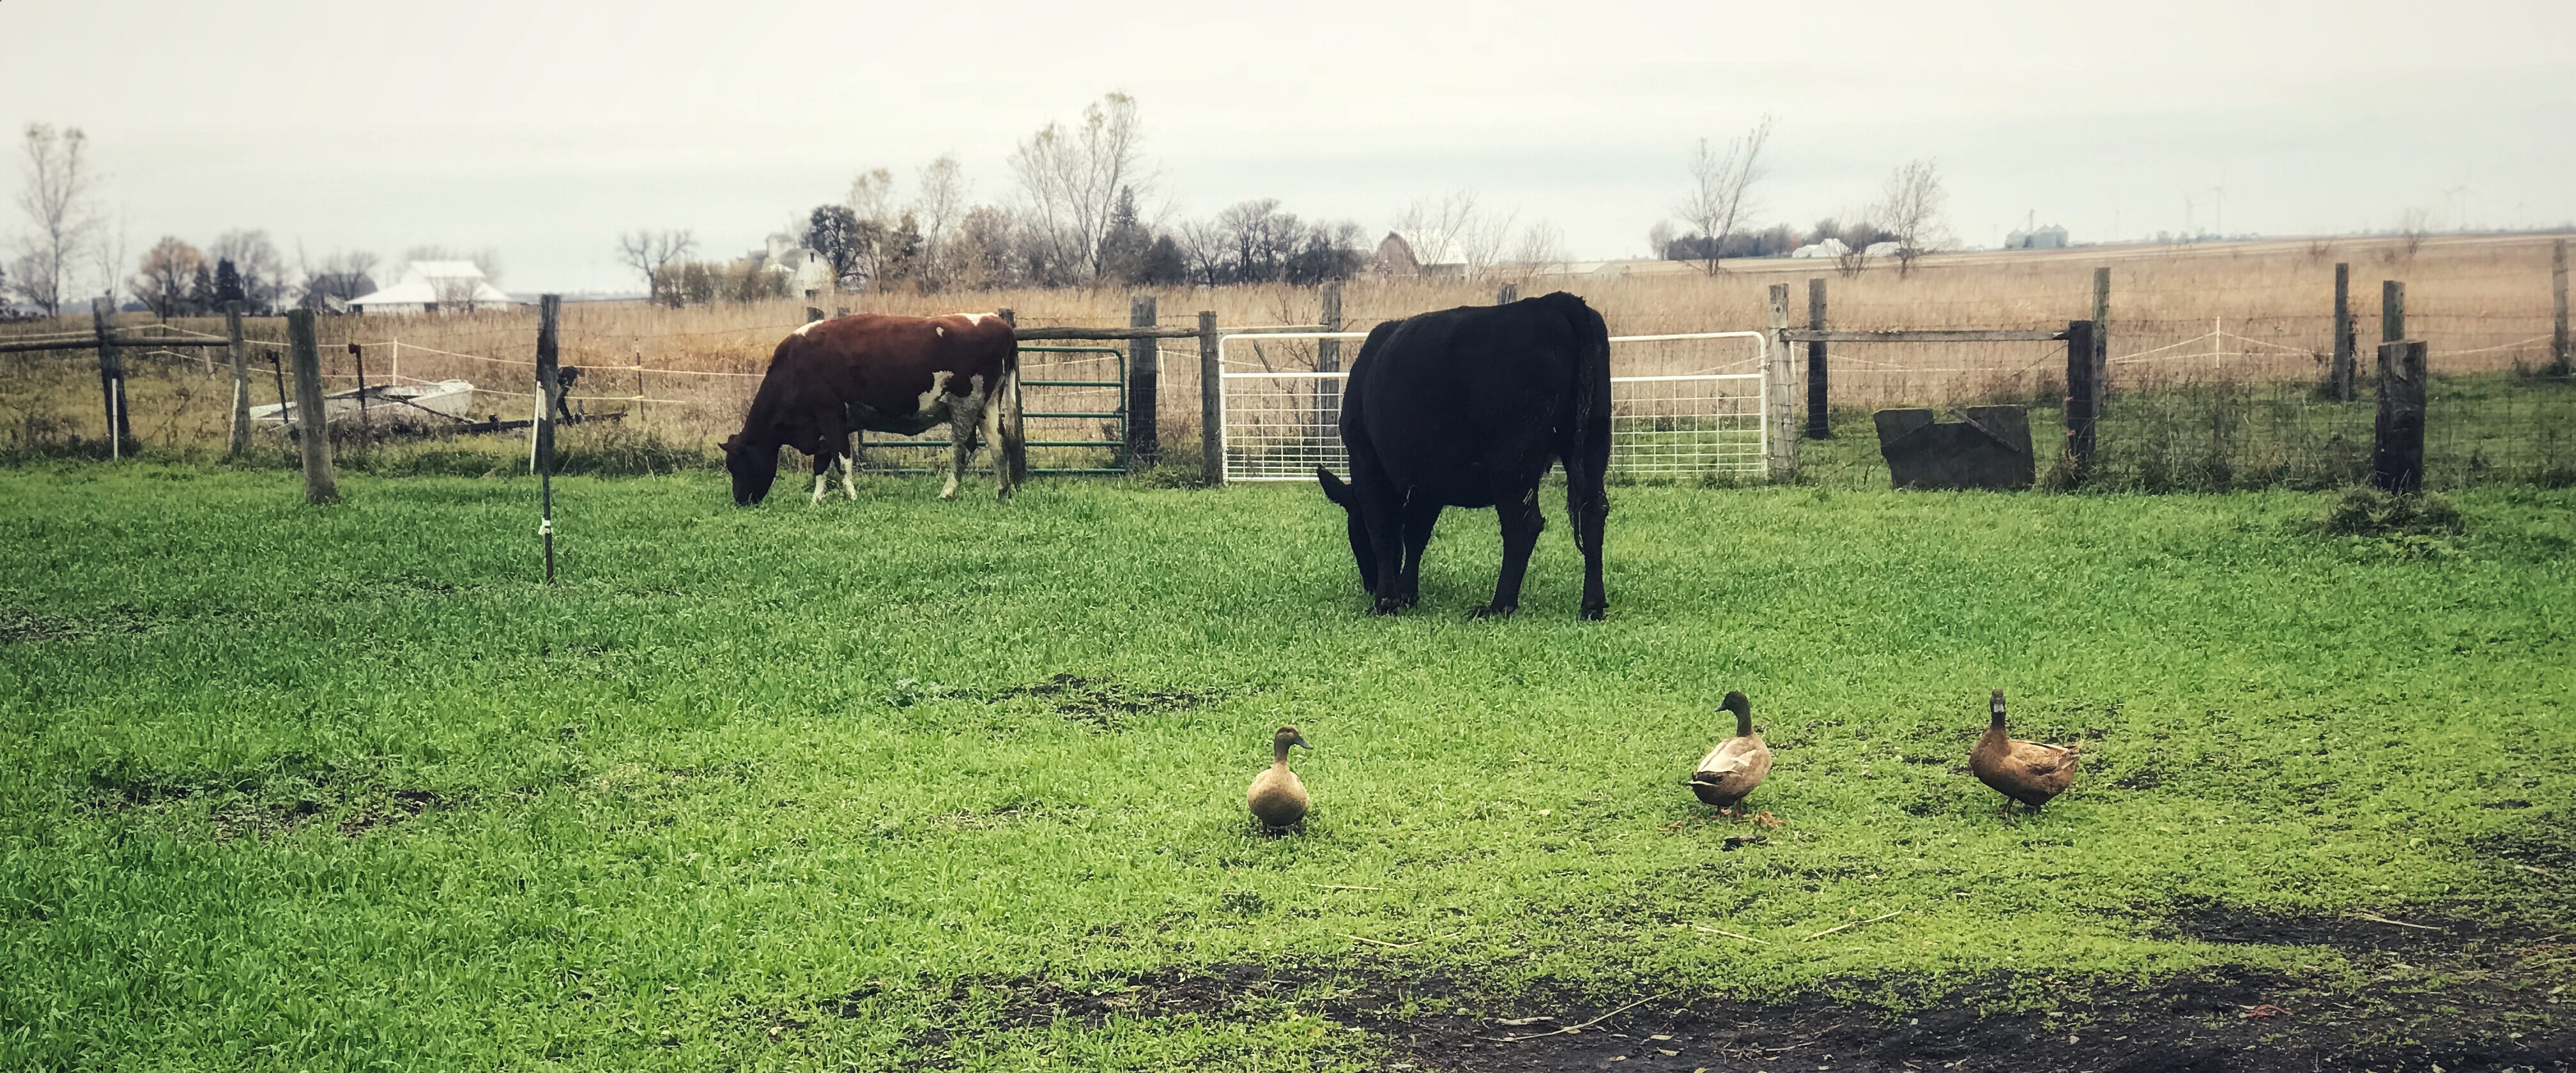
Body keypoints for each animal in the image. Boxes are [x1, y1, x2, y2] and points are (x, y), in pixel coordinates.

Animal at [721, 312, 1023, 506]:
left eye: (737, 465)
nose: (740, 500)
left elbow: (842, 459)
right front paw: (817, 499)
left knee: (963, 448)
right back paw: (1002, 492)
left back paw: (948, 492)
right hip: (986, 406)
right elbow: (821, 464)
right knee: (998, 445)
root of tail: (997, 322)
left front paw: (851, 496)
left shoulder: (830, 415)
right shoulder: (821, 426)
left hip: (964, 404)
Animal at [1315, 291, 1612, 619]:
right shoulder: (1428, 481)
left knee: (1523, 524)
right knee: (1592, 511)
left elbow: (1383, 529)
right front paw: (1407, 593)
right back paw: (1592, 605)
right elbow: (1416, 535)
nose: (1370, 584)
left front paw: (1387, 600)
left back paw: (1499, 605)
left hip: (1513, 460)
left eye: (1353, 532)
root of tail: (1556, 301)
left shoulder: (1366, 461)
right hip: (1593, 441)